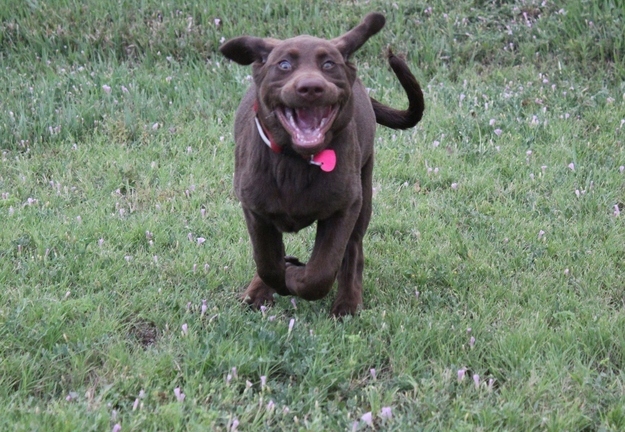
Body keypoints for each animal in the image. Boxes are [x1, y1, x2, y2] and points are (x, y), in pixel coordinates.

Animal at [221, 12, 424, 318]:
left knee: (353, 248)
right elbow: (267, 262)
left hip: (364, 191)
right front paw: (277, 277)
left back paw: (348, 303)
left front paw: (295, 275)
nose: (311, 88)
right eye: (284, 64)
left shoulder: (344, 207)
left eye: (328, 64)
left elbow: (320, 272)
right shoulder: (254, 209)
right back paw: (257, 292)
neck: (295, 161)